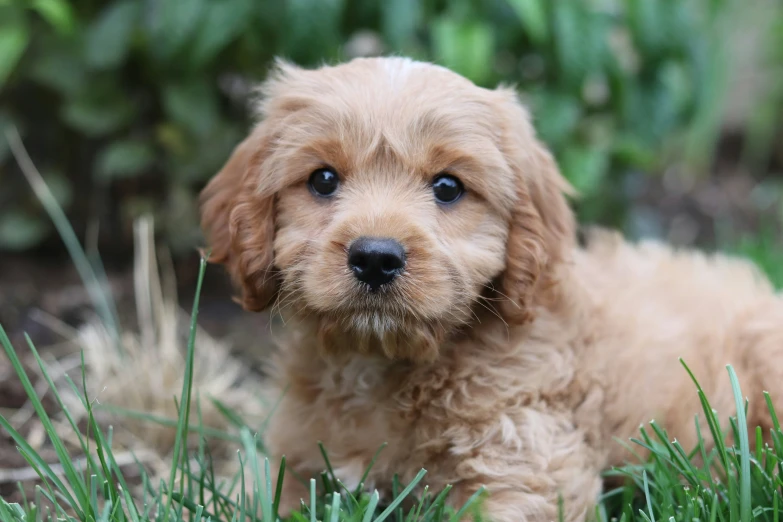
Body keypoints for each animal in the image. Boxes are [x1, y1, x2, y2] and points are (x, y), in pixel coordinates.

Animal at [198, 57, 783, 520]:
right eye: (322, 180)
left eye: (448, 187)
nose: (376, 258)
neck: (385, 364)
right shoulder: (290, 458)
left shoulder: (525, 457)